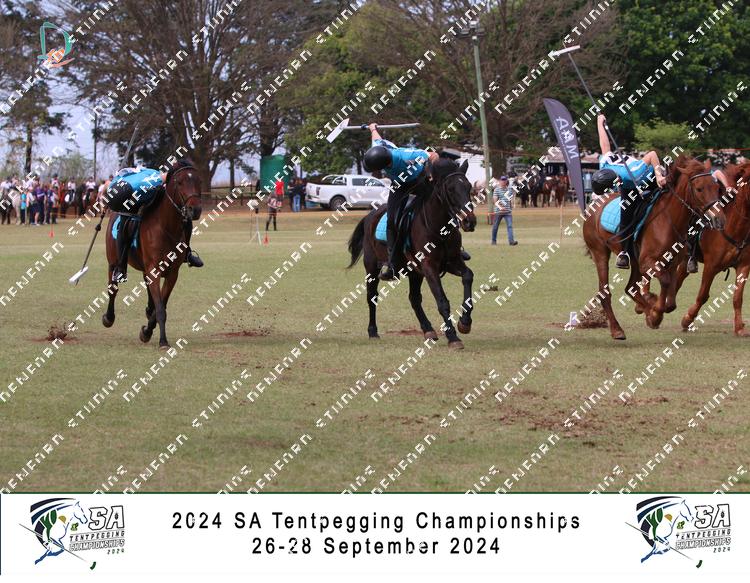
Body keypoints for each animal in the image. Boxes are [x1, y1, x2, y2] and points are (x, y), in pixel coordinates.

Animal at [102, 161, 202, 349]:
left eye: (198, 181)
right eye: (179, 183)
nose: (196, 210)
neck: (166, 226)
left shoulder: (172, 274)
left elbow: (160, 305)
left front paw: (147, 331)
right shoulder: (154, 270)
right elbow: (161, 308)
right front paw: (162, 340)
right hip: (113, 262)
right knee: (113, 289)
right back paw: (108, 317)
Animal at [347, 158, 477, 349]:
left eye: (468, 187)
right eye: (450, 189)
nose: (470, 221)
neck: (438, 228)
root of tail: (370, 215)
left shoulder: (452, 262)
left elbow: (468, 276)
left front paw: (465, 322)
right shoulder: (429, 267)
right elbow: (442, 301)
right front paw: (453, 337)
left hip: (414, 272)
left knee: (414, 298)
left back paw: (428, 330)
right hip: (371, 269)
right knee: (372, 297)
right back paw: (373, 332)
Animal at [582, 156, 726, 340]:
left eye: (717, 188)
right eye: (699, 189)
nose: (719, 220)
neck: (670, 219)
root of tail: (593, 206)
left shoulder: (672, 262)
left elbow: (670, 300)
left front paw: (653, 309)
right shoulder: (648, 262)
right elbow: (664, 282)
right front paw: (655, 313)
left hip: (635, 260)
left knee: (630, 288)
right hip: (600, 253)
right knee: (605, 293)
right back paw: (617, 329)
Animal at [676, 162, 750, 336]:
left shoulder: (744, 266)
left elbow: (738, 298)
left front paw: (739, 327)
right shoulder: (711, 266)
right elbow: (703, 295)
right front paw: (687, 319)